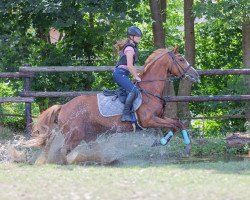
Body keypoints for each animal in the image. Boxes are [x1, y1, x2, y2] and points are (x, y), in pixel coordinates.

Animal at [25, 48, 199, 155]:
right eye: (181, 59)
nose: (196, 75)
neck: (150, 90)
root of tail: (63, 107)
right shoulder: (149, 120)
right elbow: (174, 124)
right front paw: (163, 142)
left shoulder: (160, 117)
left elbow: (178, 123)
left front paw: (185, 147)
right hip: (74, 135)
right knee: (63, 150)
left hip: (89, 136)